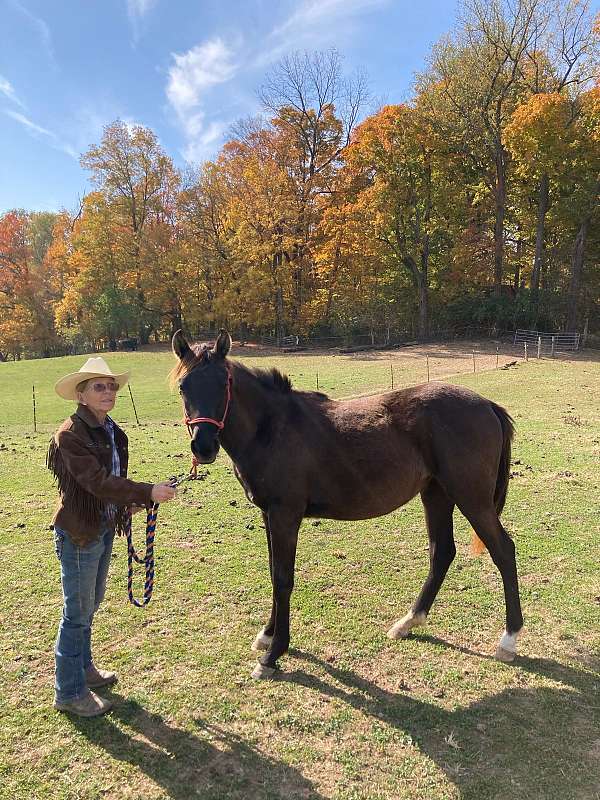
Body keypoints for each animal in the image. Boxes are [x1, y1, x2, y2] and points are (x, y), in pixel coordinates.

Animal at [171, 328, 524, 680]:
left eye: (224, 383)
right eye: (184, 386)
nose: (203, 447)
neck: (271, 428)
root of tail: (488, 405)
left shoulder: (285, 515)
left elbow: (283, 578)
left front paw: (272, 655)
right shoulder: (268, 514)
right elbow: (273, 573)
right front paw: (267, 635)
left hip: (472, 499)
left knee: (504, 551)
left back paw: (508, 640)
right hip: (437, 494)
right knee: (442, 553)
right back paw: (409, 622)